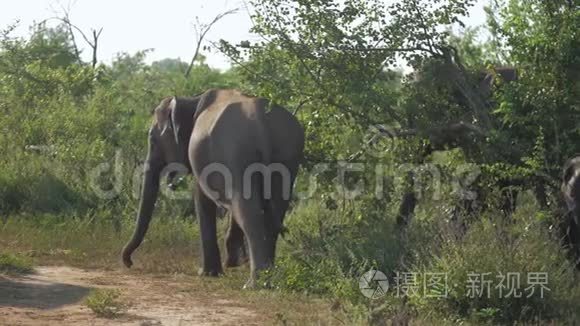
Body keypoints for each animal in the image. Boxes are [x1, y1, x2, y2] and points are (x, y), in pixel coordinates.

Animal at [120, 88, 306, 288]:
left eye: (153, 140)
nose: (129, 262)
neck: (192, 99)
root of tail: (261, 124)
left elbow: (201, 199)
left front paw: (208, 273)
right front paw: (233, 261)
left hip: (237, 154)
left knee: (249, 213)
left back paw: (253, 284)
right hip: (287, 157)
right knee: (275, 212)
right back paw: (268, 280)